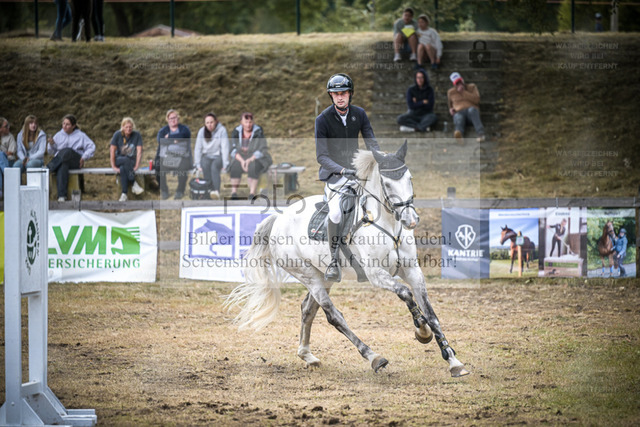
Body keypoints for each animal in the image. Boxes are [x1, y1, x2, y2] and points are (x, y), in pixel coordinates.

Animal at [225, 142, 469, 377]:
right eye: (387, 184)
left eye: (409, 178)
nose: (410, 220)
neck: (388, 223)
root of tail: (279, 217)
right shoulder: (376, 274)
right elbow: (405, 293)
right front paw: (422, 331)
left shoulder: (412, 271)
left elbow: (432, 314)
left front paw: (453, 361)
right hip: (308, 275)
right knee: (333, 316)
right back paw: (373, 357)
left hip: (323, 276)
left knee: (307, 309)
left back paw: (307, 355)